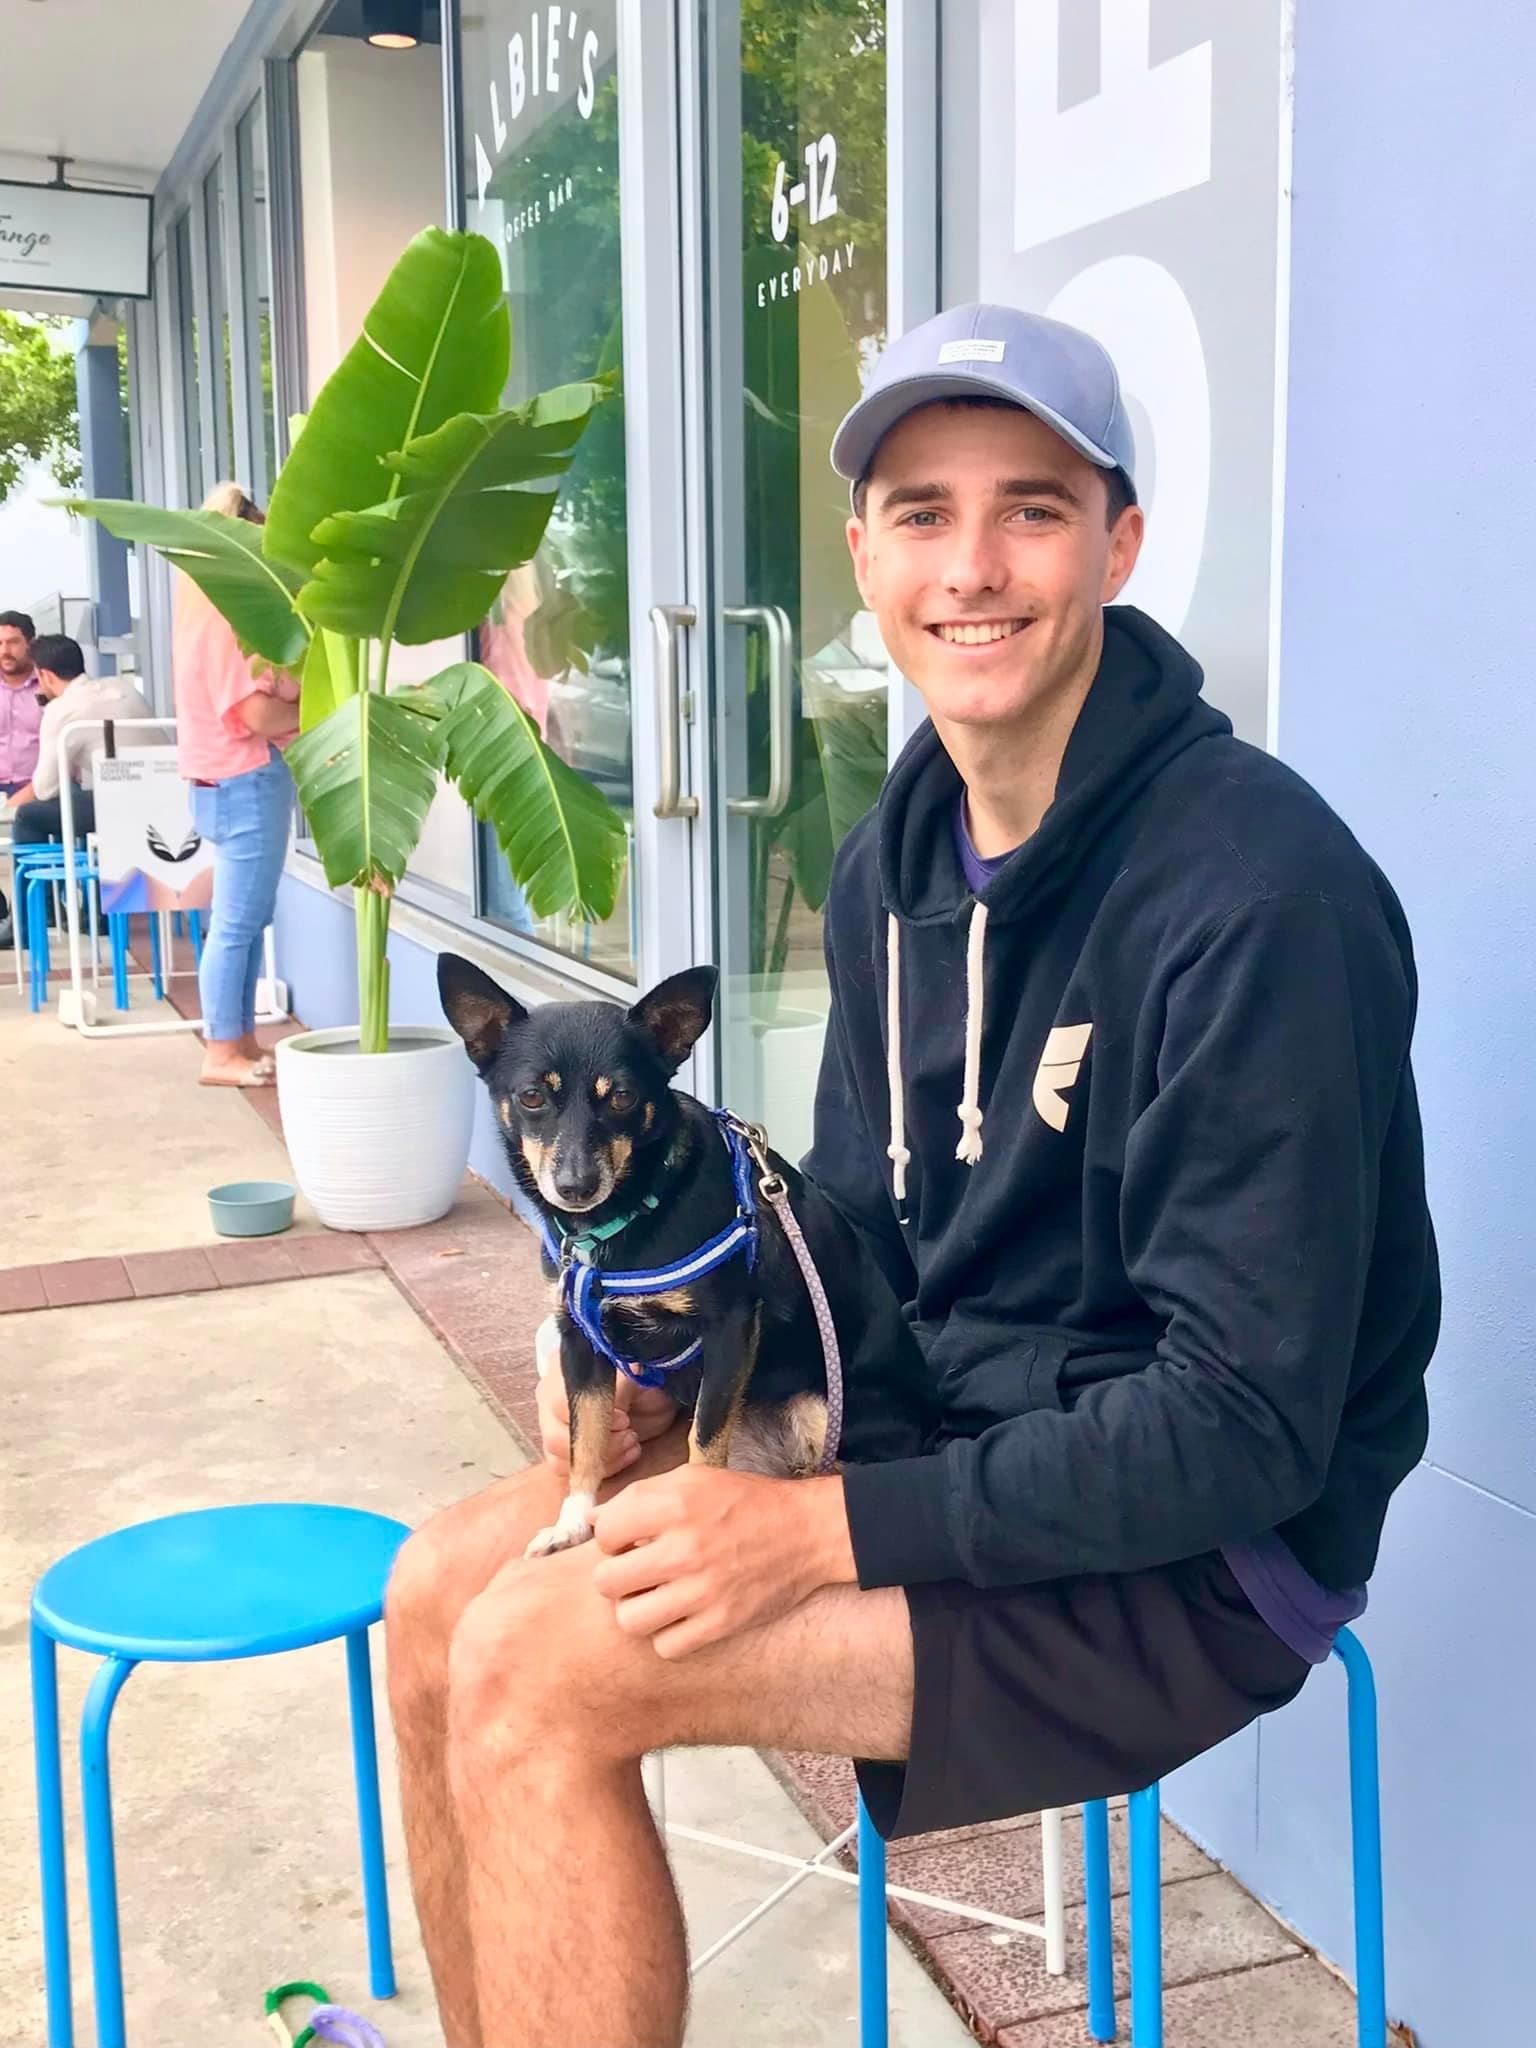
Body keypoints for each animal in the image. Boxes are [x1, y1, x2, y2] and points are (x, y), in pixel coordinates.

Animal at [436, 950, 937, 1556]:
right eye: (532, 1097)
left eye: (623, 1097)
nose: (575, 1186)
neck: (625, 1218)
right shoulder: (580, 1342)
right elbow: (586, 1441)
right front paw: (573, 1523)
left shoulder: (730, 1330)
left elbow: (705, 1441)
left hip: (825, 1407)